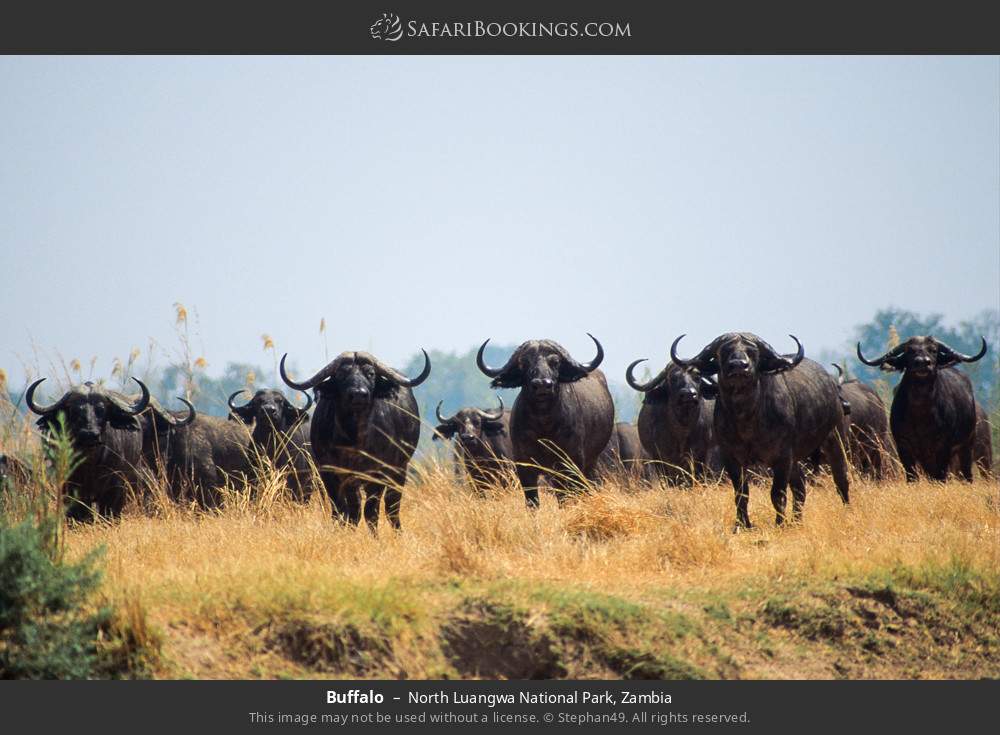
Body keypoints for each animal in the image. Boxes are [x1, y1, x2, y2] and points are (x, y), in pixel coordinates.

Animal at [26, 378, 158, 520]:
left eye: (102, 409)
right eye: (74, 409)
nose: (89, 435)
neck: (90, 462)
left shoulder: (115, 487)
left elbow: (109, 513)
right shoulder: (71, 486)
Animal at [280, 349, 430, 529]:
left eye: (371, 373)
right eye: (341, 374)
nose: (359, 394)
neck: (354, 438)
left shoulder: (377, 474)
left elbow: (370, 511)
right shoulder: (330, 473)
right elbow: (344, 509)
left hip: (400, 470)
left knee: (392, 508)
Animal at [476, 335, 613, 507]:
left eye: (555, 362)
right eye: (525, 363)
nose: (542, 385)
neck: (544, 425)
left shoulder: (571, 463)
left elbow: (568, 497)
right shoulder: (524, 466)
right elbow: (532, 502)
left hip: (590, 463)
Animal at [671, 333, 850, 529]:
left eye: (752, 352)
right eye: (724, 351)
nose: (739, 365)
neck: (746, 418)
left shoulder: (782, 457)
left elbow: (777, 493)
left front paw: (779, 523)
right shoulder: (731, 458)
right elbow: (741, 494)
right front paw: (742, 524)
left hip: (835, 440)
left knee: (840, 479)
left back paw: (846, 510)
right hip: (796, 459)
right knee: (800, 486)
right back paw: (796, 521)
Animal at [858, 336, 988, 481]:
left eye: (934, 350)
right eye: (909, 350)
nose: (923, 363)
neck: (921, 412)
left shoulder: (943, 447)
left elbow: (940, 476)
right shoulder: (903, 446)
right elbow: (912, 476)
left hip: (967, 445)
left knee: (966, 474)